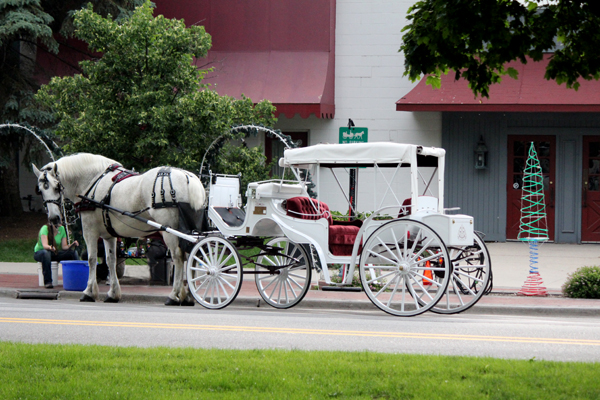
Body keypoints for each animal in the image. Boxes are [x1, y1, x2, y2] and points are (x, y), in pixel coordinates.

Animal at [33, 155, 206, 304]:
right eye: (40, 190)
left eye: (56, 187)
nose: (54, 219)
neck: (93, 182)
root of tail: (187, 177)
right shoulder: (108, 235)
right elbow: (111, 260)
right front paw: (113, 293)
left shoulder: (90, 231)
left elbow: (91, 259)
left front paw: (89, 292)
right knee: (191, 255)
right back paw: (188, 295)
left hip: (169, 231)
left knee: (178, 257)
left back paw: (174, 295)